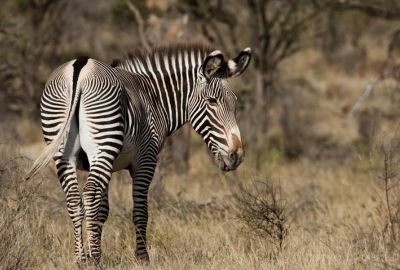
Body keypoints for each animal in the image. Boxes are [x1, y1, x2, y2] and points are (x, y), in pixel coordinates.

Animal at [25, 42, 252, 264]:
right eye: (212, 101)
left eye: (234, 102)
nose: (237, 156)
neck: (154, 98)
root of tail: (80, 68)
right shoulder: (145, 160)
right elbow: (141, 210)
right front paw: (142, 258)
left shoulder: (105, 165)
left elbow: (102, 211)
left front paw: (94, 251)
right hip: (103, 146)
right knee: (88, 195)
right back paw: (94, 260)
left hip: (65, 151)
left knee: (74, 199)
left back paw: (80, 259)